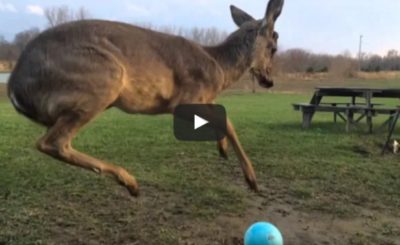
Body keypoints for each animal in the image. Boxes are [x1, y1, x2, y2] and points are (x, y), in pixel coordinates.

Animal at [7, 0, 284, 196]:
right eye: (273, 47)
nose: (269, 81)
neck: (219, 68)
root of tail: (13, 85)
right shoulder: (184, 98)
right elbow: (228, 121)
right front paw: (252, 180)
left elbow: (222, 116)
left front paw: (222, 150)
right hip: (102, 79)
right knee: (52, 142)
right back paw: (130, 182)